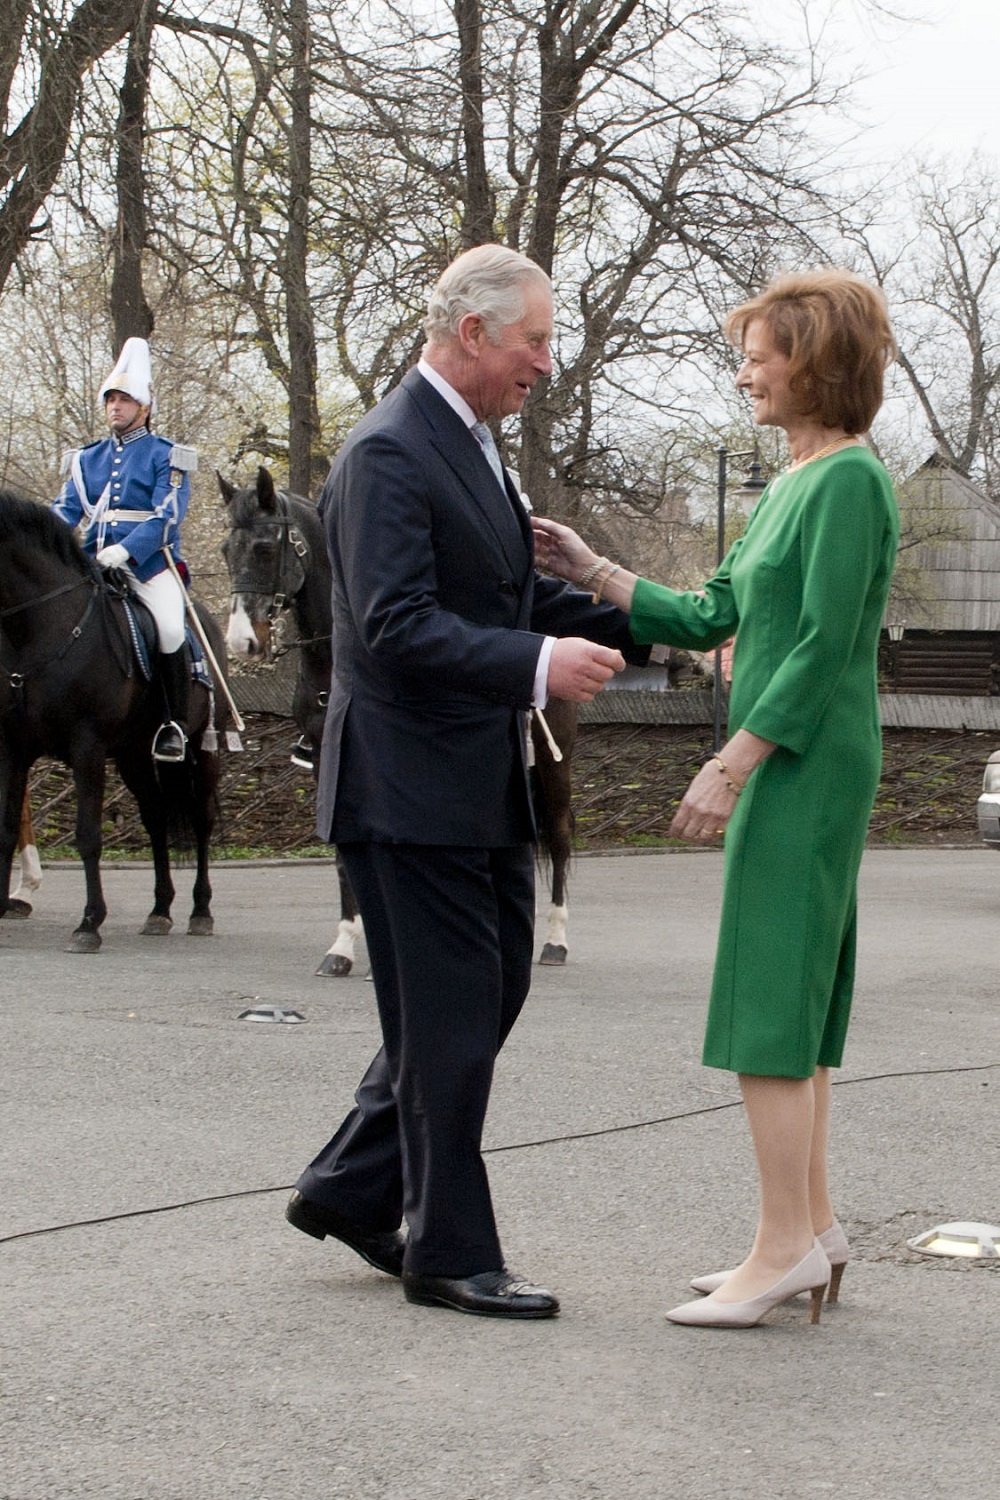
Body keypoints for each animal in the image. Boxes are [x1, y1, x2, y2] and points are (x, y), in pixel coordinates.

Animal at [0, 498, 229, 954]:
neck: (37, 630)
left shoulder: (86, 748)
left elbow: (88, 834)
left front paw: (89, 922)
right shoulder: (14, 748)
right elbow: (5, 829)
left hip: (201, 749)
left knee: (201, 820)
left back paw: (200, 910)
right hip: (133, 754)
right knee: (155, 816)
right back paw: (160, 910)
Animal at [218, 468, 578, 972]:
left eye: (266, 548)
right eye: (225, 550)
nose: (241, 642)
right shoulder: (331, 764)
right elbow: (344, 858)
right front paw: (344, 945)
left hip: (551, 758)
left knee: (560, 837)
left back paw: (555, 940)